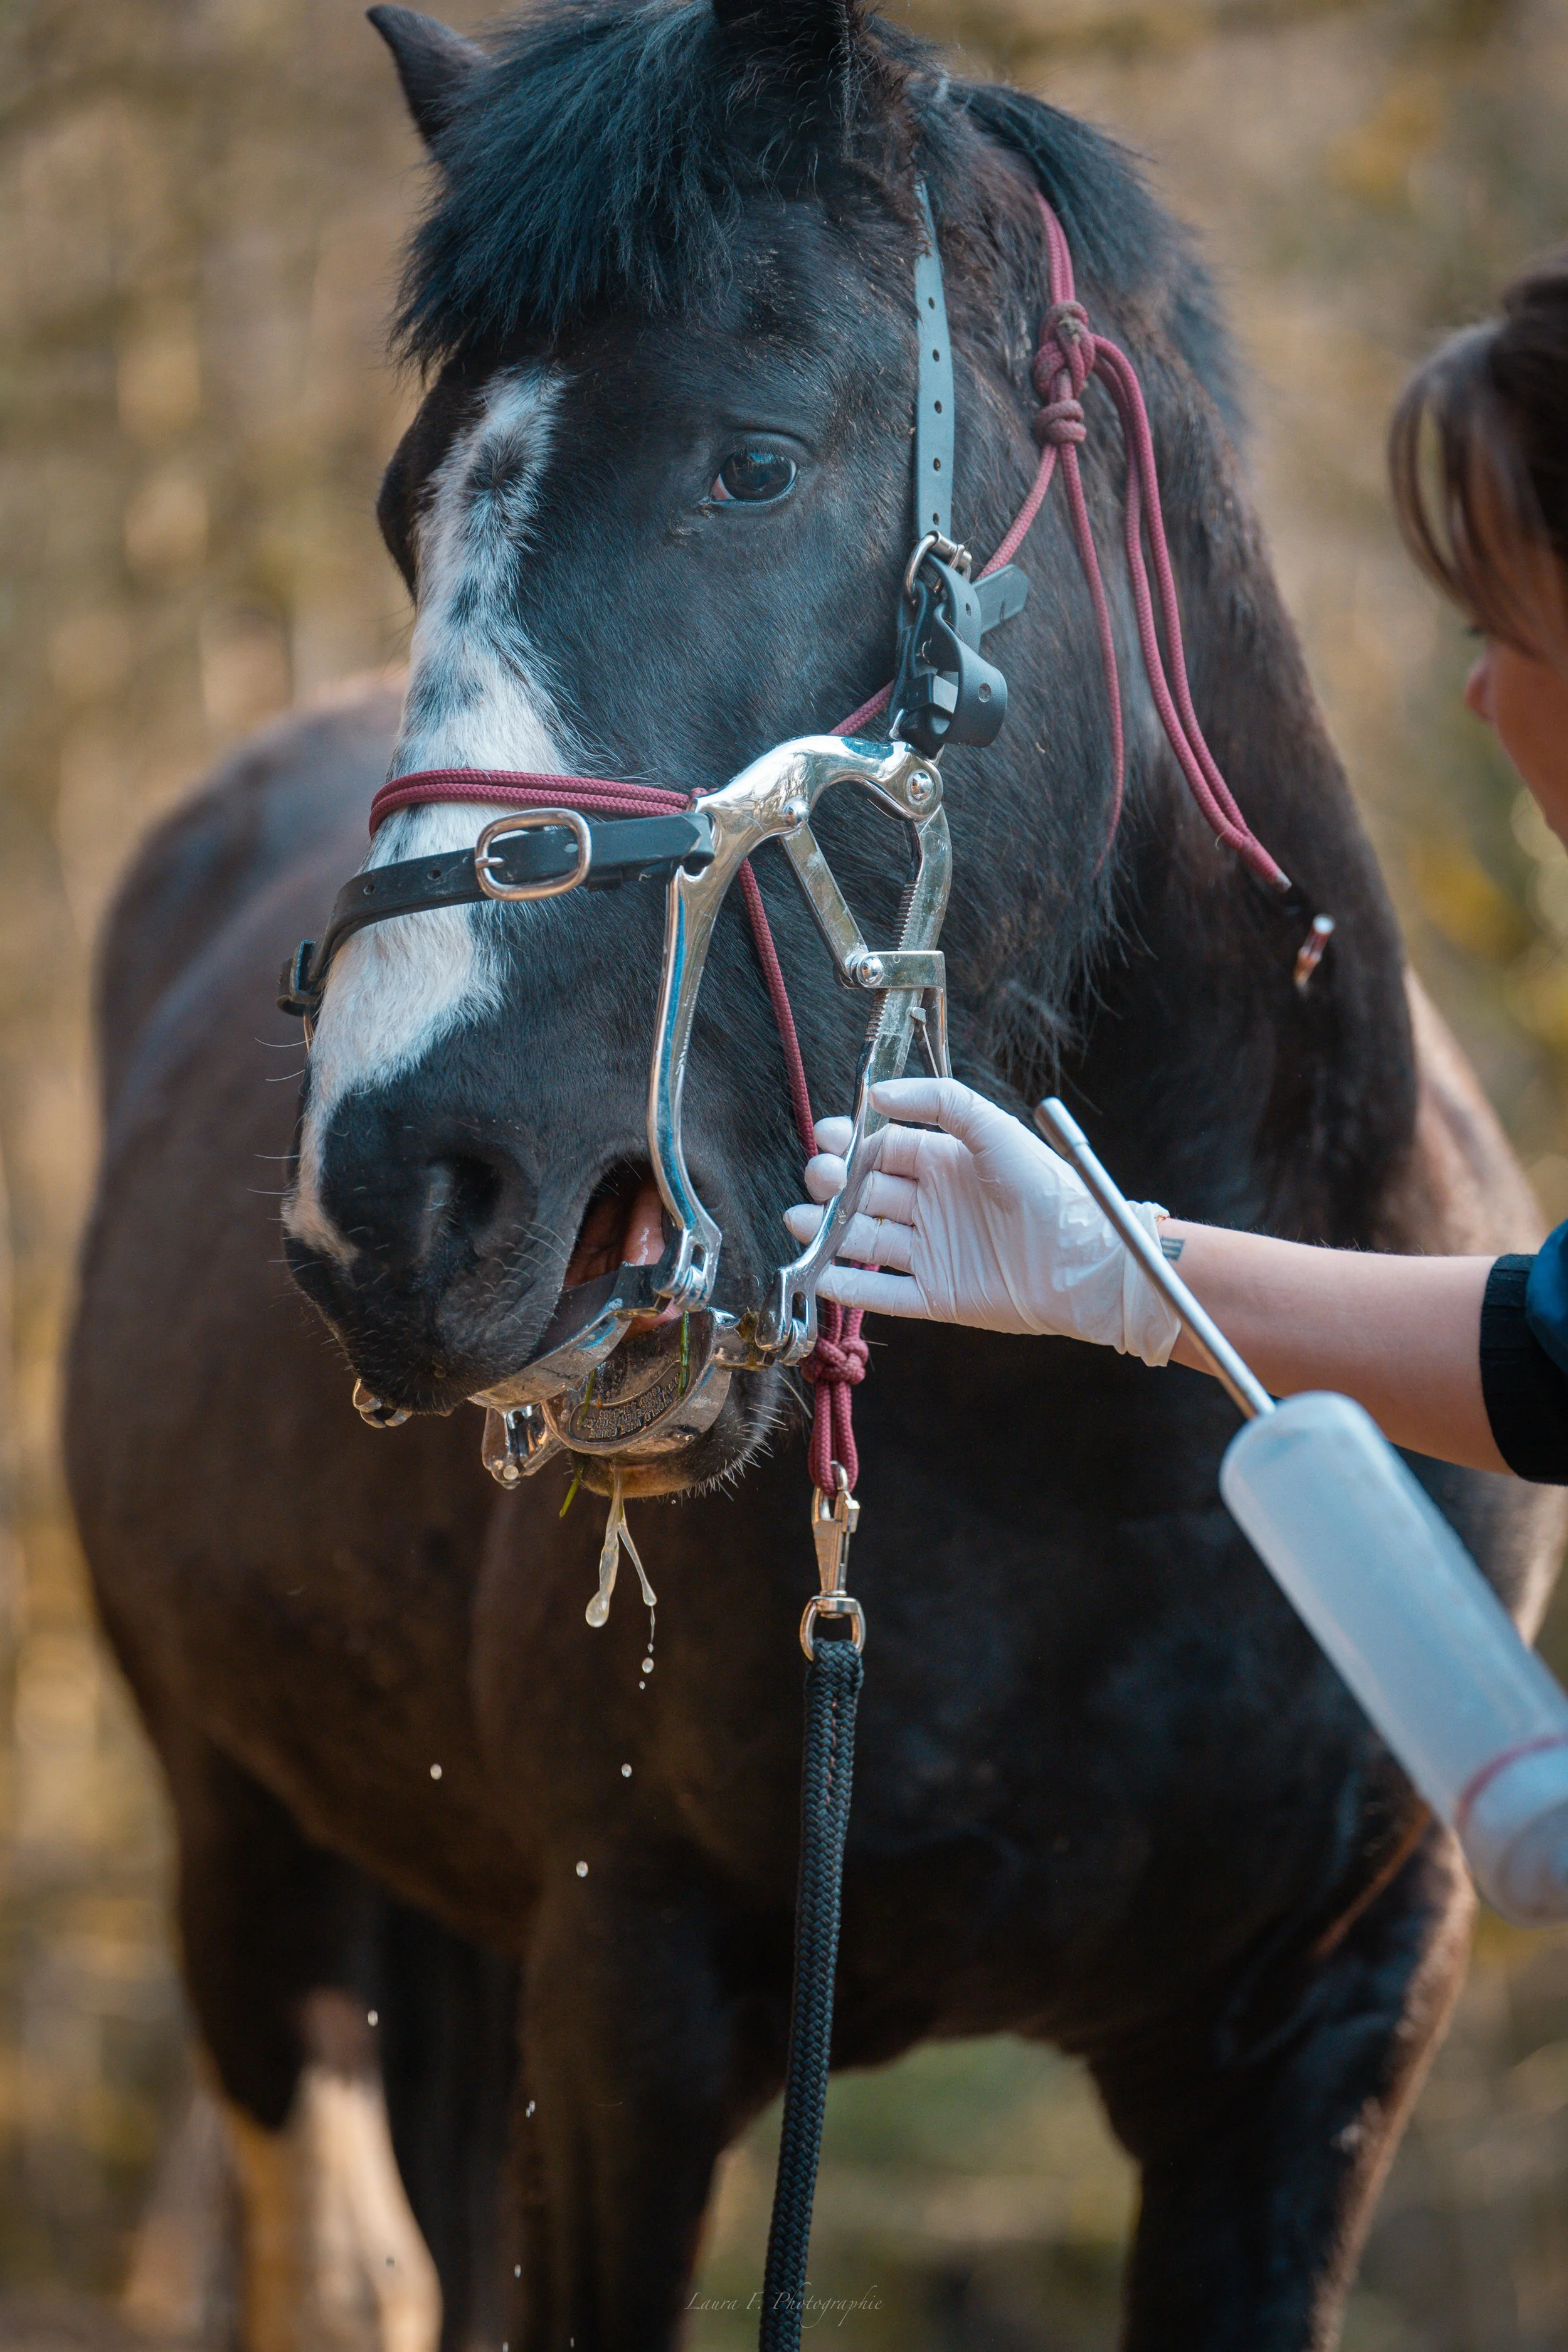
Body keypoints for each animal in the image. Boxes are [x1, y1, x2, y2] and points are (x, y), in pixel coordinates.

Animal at [64, 3, 1564, 2346]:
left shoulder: (1326, 2043)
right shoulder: (625, 2009)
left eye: (753, 466)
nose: (404, 1200)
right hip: (252, 1868)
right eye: (410, 511)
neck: (1102, 1474)